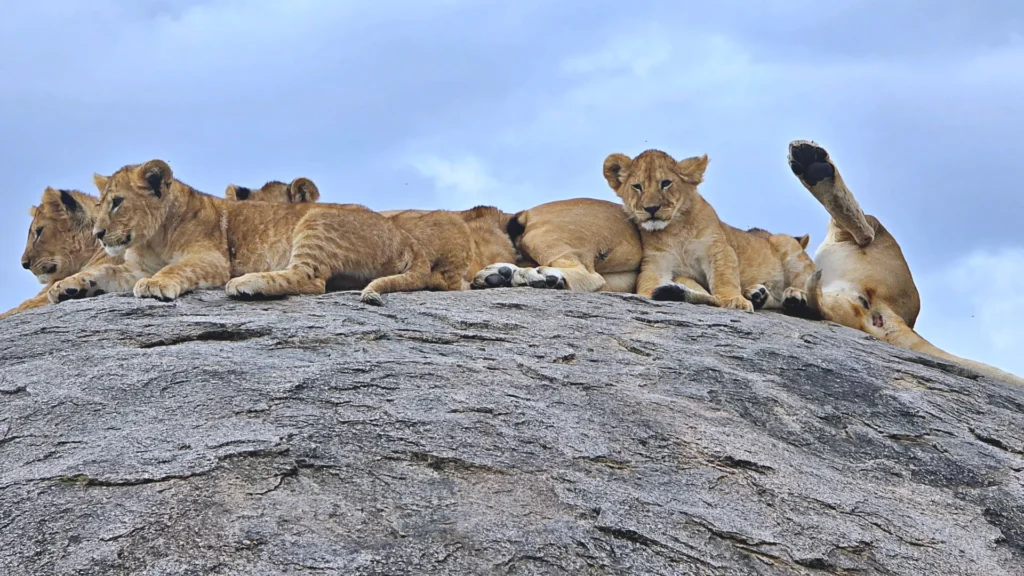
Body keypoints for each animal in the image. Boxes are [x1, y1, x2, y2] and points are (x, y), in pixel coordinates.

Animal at [45, 161, 451, 307]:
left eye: (117, 203)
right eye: (99, 205)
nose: (98, 233)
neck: (152, 238)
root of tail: (407, 237)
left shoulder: (212, 258)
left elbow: (176, 269)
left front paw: (158, 285)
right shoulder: (131, 269)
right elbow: (102, 271)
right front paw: (66, 287)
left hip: (316, 221)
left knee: (309, 279)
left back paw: (249, 283)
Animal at [602, 149, 814, 313]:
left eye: (666, 183)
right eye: (637, 186)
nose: (651, 208)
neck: (675, 230)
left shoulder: (718, 249)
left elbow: (724, 277)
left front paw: (734, 300)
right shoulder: (656, 261)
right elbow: (648, 280)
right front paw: (647, 295)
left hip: (788, 246)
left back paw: (794, 297)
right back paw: (758, 295)